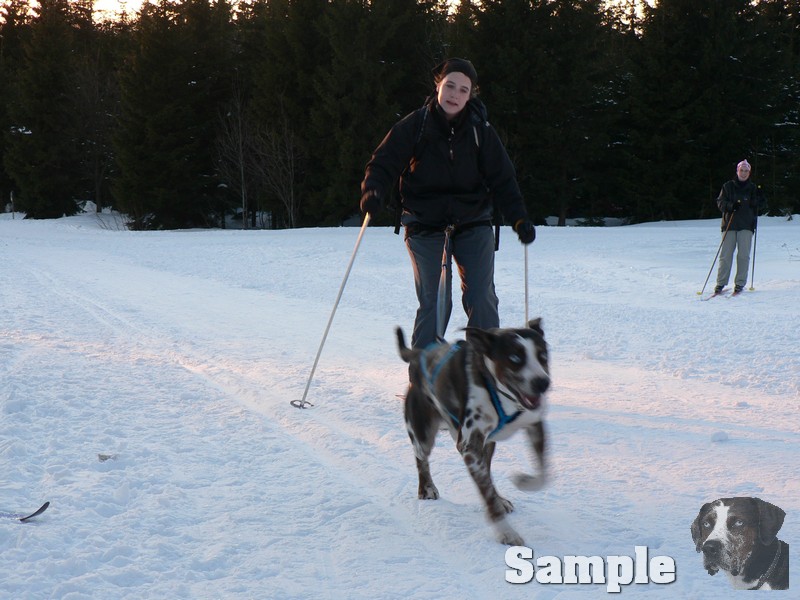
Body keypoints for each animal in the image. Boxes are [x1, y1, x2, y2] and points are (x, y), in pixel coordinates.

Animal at [396, 322, 552, 548]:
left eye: (543, 355)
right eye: (515, 357)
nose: (542, 382)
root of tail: (420, 354)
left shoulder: (534, 424)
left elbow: (543, 474)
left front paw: (523, 482)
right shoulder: (469, 446)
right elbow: (487, 496)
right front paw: (506, 533)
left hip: (487, 444)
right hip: (423, 433)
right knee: (421, 458)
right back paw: (426, 488)